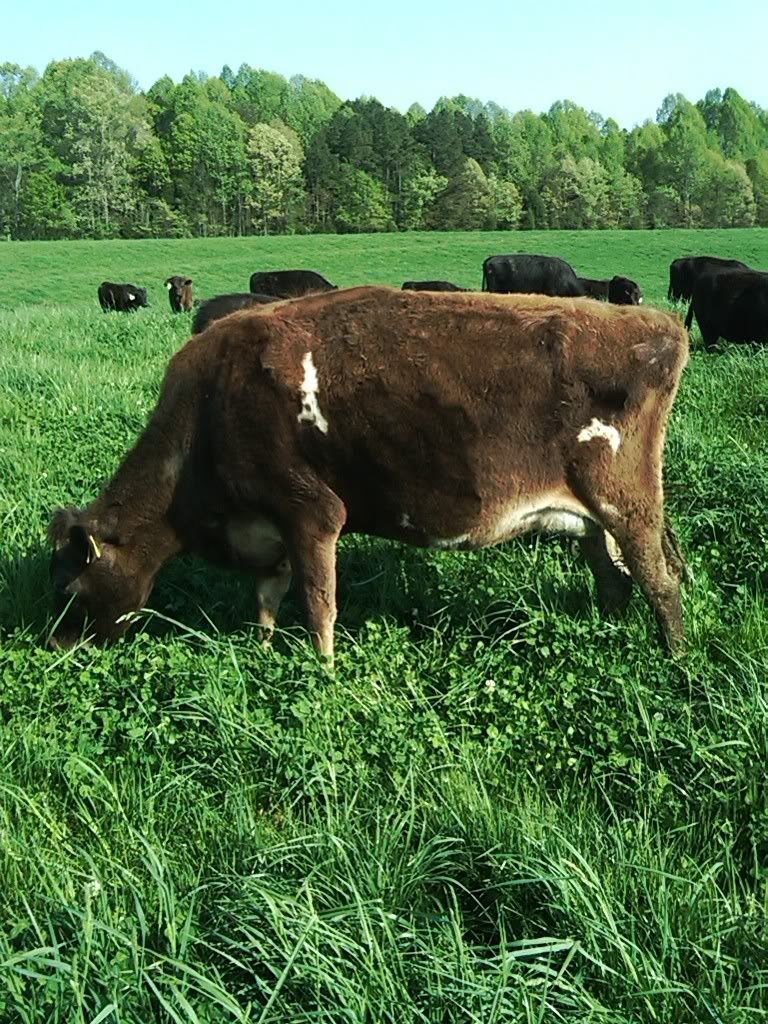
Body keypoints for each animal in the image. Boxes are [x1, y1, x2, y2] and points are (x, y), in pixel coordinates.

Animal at [48, 286, 689, 660]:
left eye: (71, 589)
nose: (53, 645)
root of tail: (657, 322)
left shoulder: (311, 511)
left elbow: (318, 604)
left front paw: (322, 673)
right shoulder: (269, 526)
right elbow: (267, 599)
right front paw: (262, 650)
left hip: (626, 500)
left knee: (661, 580)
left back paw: (675, 661)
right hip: (591, 512)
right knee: (612, 575)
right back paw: (607, 631)